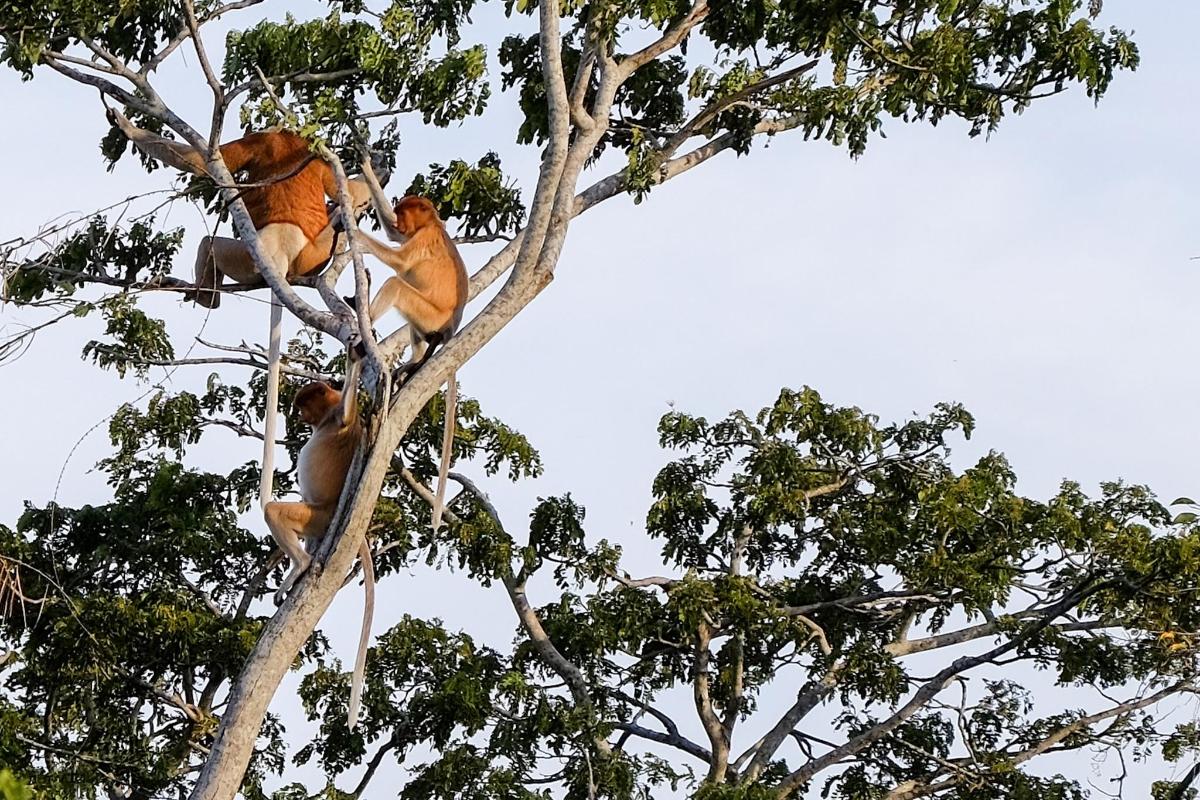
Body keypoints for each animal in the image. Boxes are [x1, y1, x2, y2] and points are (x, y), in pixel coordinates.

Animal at [262, 379, 374, 729]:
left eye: (303, 405)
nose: (299, 417)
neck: (325, 418)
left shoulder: (341, 417)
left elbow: (350, 407)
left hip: (317, 516)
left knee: (274, 511)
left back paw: (301, 566)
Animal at [348, 194, 468, 534]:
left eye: (405, 213)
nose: (401, 222)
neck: (434, 224)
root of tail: (449, 330)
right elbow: (392, 240)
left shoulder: (424, 238)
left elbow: (399, 260)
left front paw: (351, 231)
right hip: (426, 323)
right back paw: (412, 362)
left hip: (430, 315)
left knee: (396, 283)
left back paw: (362, 333)